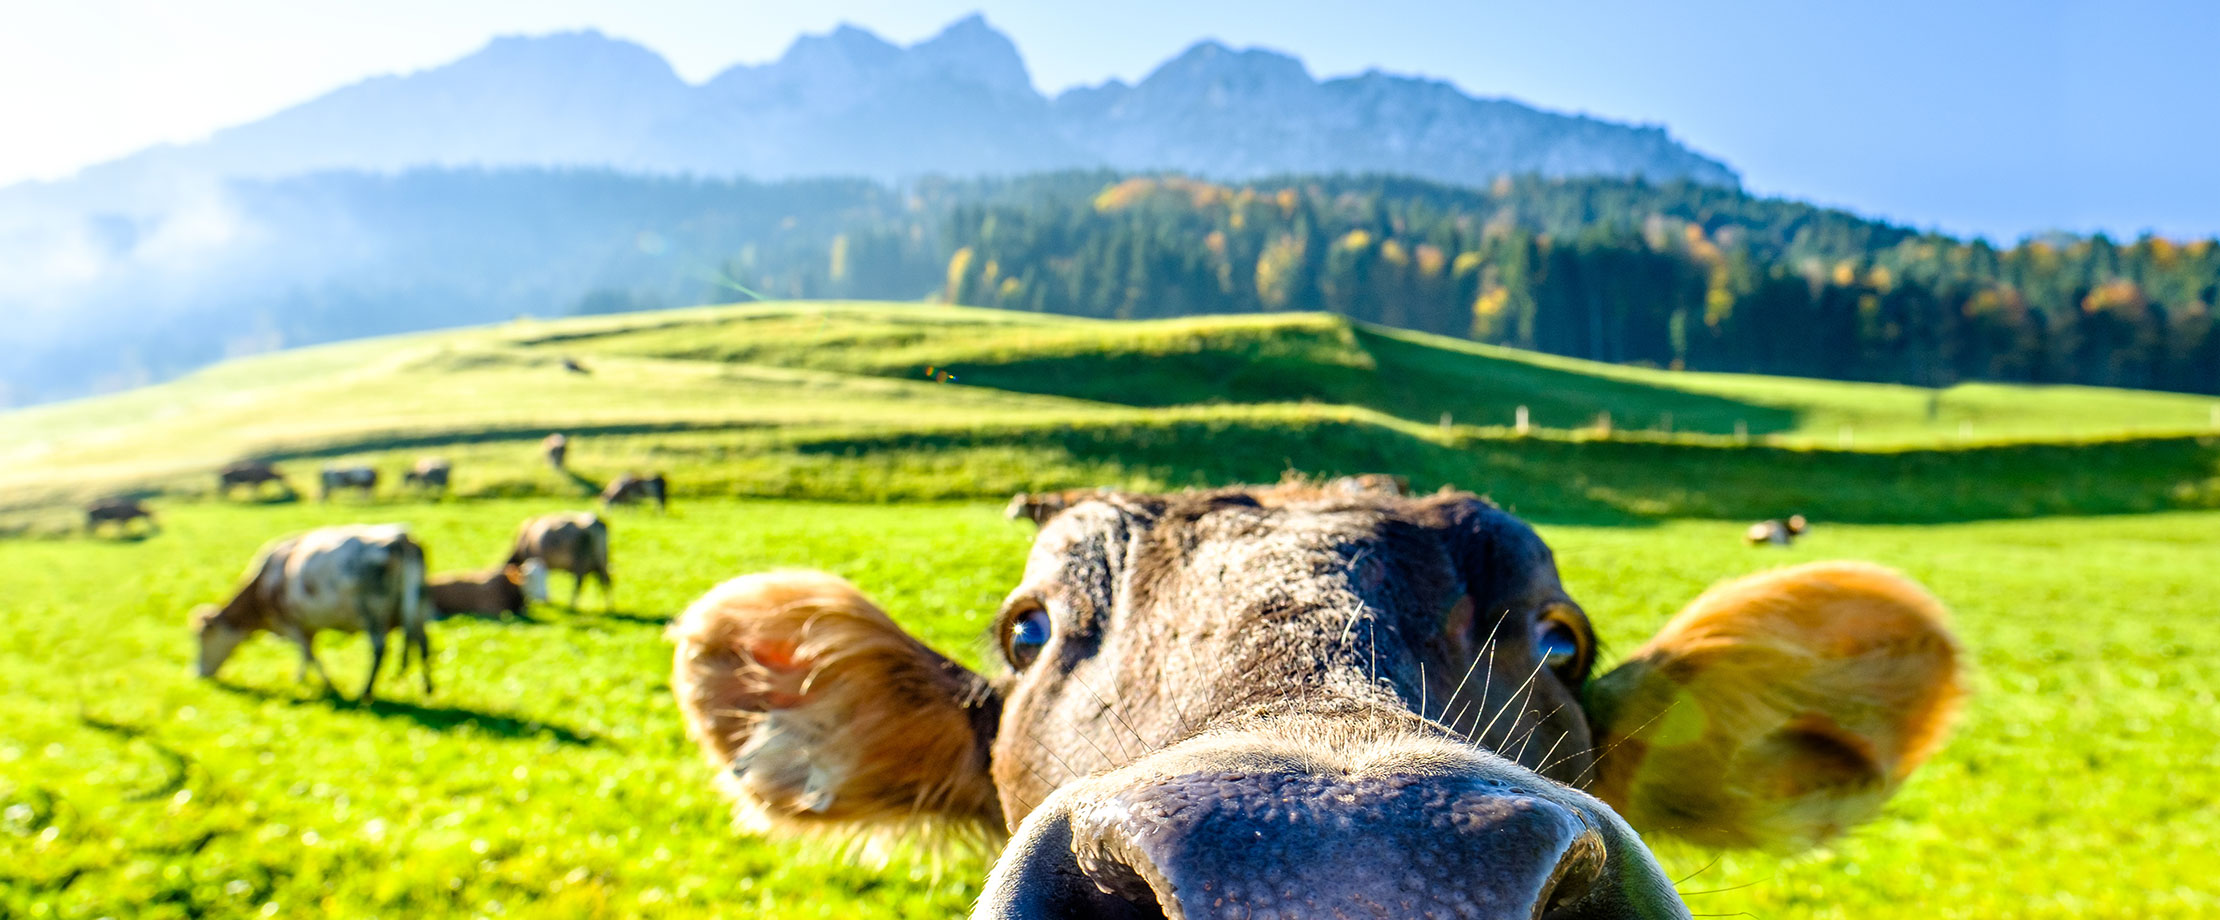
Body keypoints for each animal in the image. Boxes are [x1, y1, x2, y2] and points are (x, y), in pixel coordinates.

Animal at [194, 520, 432, 702]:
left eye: (203, 636)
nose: (197, 673)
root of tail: (400, 538)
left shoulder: (289, 623)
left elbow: (309, 653)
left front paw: (330, 685)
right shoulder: (306, 625)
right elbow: (306, 653)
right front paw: (301, 679)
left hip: (372, 611)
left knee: (380, 649)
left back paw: (365, 692)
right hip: (416, 605)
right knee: (422, 641)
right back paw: (427, 688)